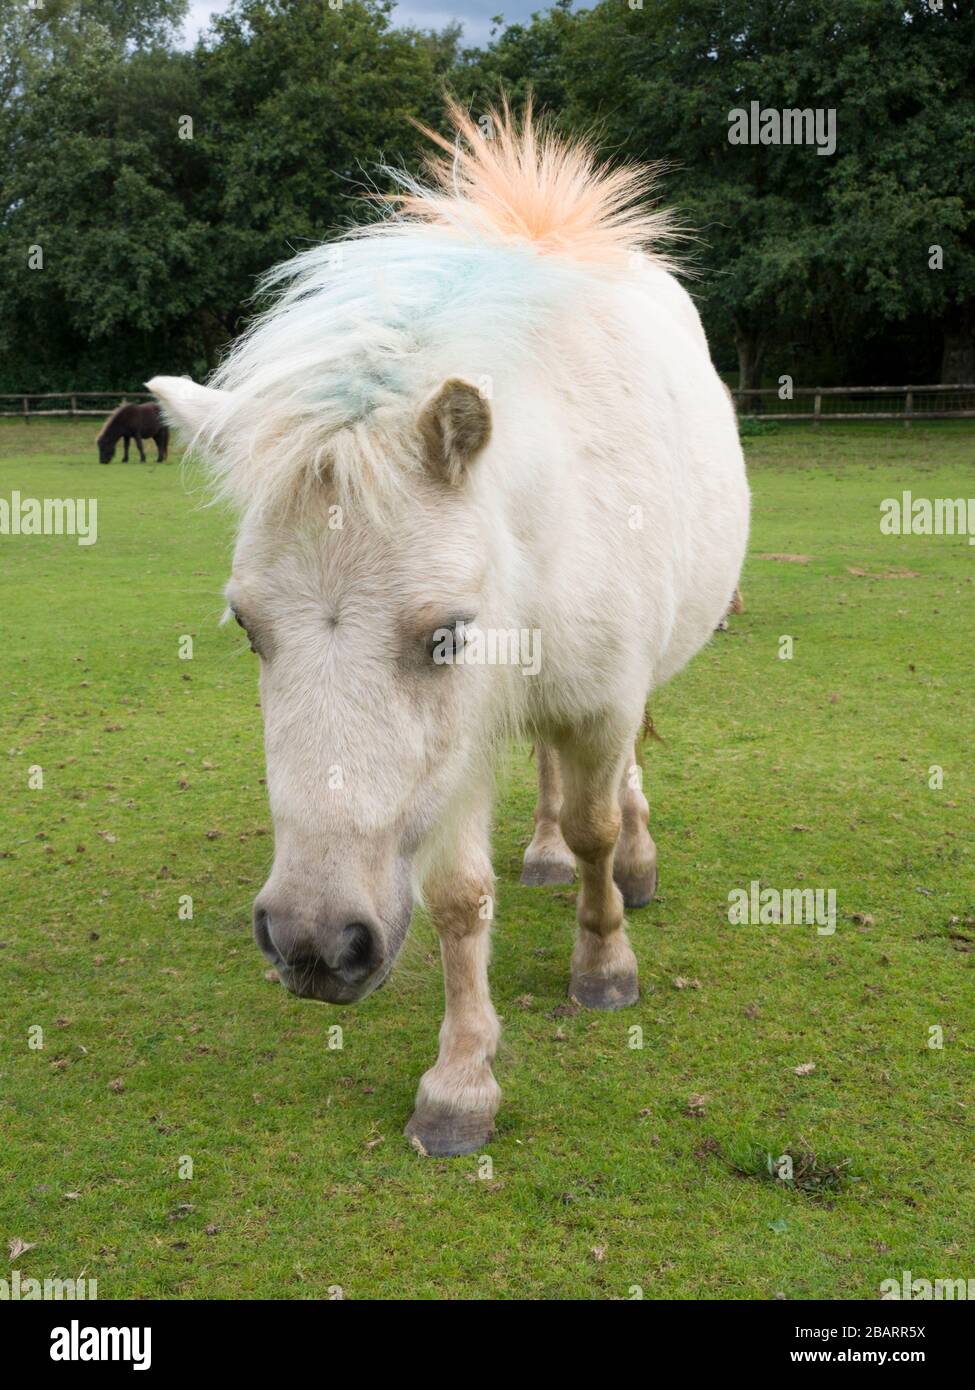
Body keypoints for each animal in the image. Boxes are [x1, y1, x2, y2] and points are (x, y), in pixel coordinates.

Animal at [149, 99, 750, 1157]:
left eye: (444, 636)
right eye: (250, 631)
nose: (313, 946)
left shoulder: (597, 700)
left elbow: (598, 823)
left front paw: (604, 963)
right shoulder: (461, 750)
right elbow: (458, 899)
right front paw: (462, 1079)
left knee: (618, 785)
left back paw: (628, 868)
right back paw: (543, 856)